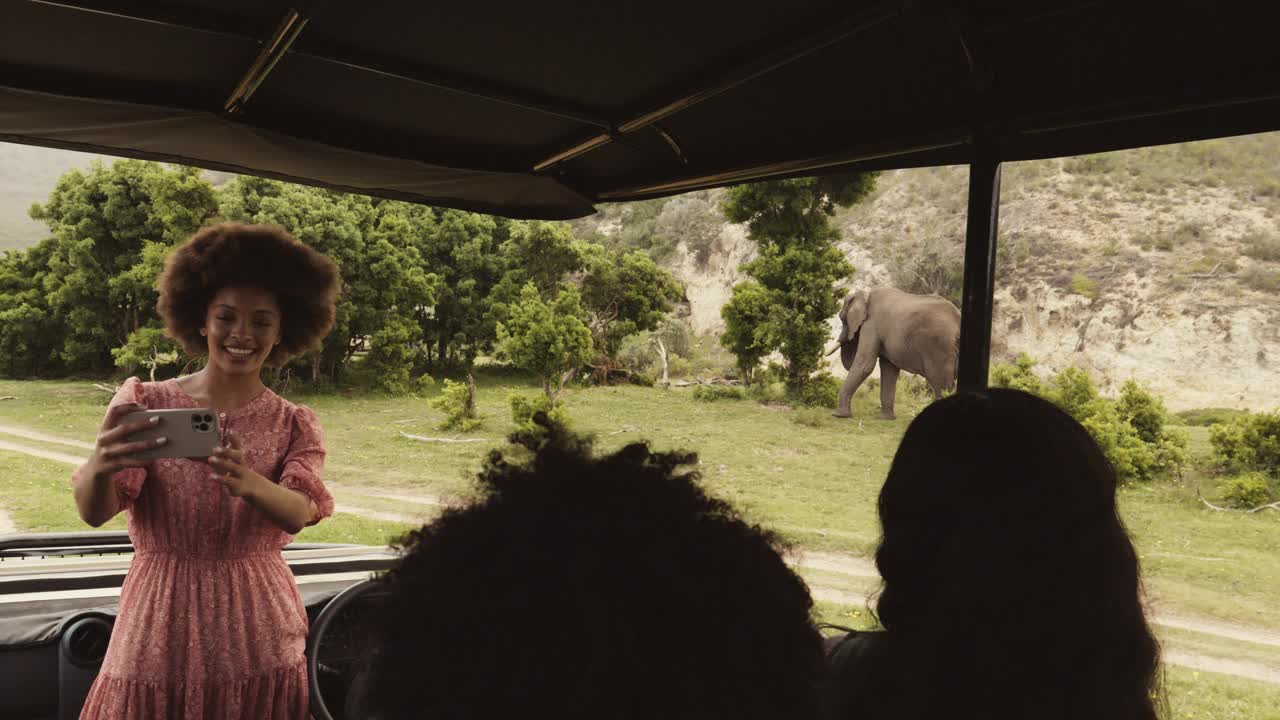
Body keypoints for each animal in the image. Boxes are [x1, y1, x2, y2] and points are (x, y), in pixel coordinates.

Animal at [829, 285, 962, 417]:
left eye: (842, 318)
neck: (866, 295)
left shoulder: (871, 324)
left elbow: (865, 365)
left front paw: (839, 415)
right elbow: (889, 369)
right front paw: (885, 418)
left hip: (939, 350)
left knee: (940, 385)